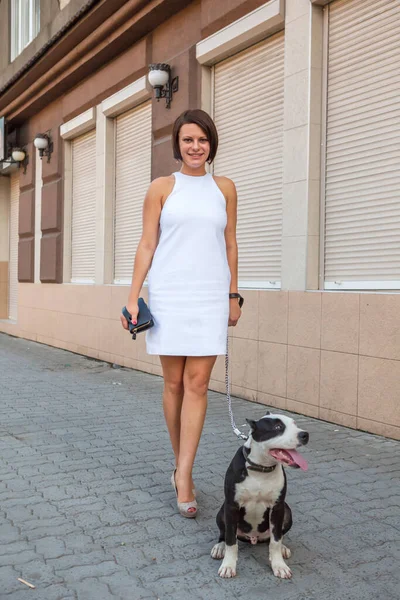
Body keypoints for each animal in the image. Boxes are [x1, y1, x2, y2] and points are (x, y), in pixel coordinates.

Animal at [212, 414, 310, 580]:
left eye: (295, 424)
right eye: (278, 427)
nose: (305, 435)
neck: (261, 469)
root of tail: (253, 538)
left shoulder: (277, 507)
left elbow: (275, 541)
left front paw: (279, 565)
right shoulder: (232, 506)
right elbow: (231, 540)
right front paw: (228, 566)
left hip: (287, 511)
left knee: (276, 536)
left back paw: (283, 547)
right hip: (222, 511)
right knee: (224, 533)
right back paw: (220, 546)